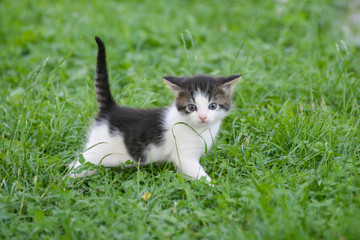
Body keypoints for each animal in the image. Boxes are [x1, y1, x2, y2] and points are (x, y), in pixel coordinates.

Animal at [69, 36, 240, 181]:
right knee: (80, 163)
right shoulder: (185, 156)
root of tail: (110, 109)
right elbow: (199, 174)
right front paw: (214, 188)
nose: (203, 117)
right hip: (97, 151)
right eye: (192, 107)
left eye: (213, 106)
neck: (200, 129)